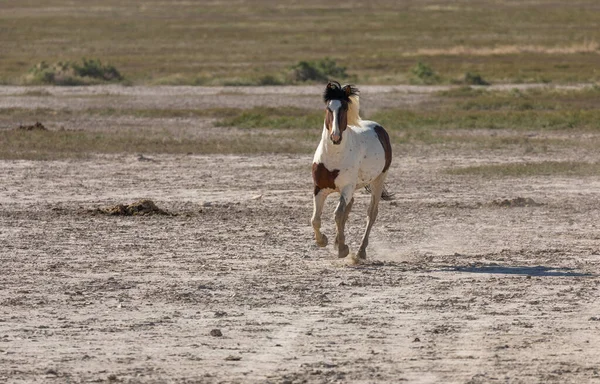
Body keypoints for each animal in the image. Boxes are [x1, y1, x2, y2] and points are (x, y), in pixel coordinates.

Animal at [312, 81, 392, 260]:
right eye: (328, 108)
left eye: (344, 108)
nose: (335, 137)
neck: (333, 157)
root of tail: (379, 128)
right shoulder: (319, 188)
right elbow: (315, 220)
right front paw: (324, 241)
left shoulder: (346, 188)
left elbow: (337, 214)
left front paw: (342, 248)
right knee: (349, 208)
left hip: (378, 180)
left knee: (371, 214)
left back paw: (361, 251)